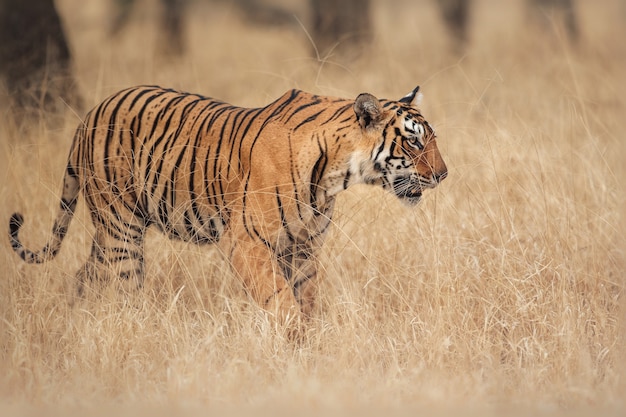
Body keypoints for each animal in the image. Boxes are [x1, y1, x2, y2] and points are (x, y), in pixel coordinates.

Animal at [11, 83, 448, 320]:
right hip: (122, 226)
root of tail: (88, 114)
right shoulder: (247, 240)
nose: (444, 174)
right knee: (123, 287)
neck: (335, 175)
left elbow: (305, 299)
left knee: (84, 276)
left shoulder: (304, 245)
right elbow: (281, 300)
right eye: (413, 141)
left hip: (108, 232)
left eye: (431, 138)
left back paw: (80, 318)